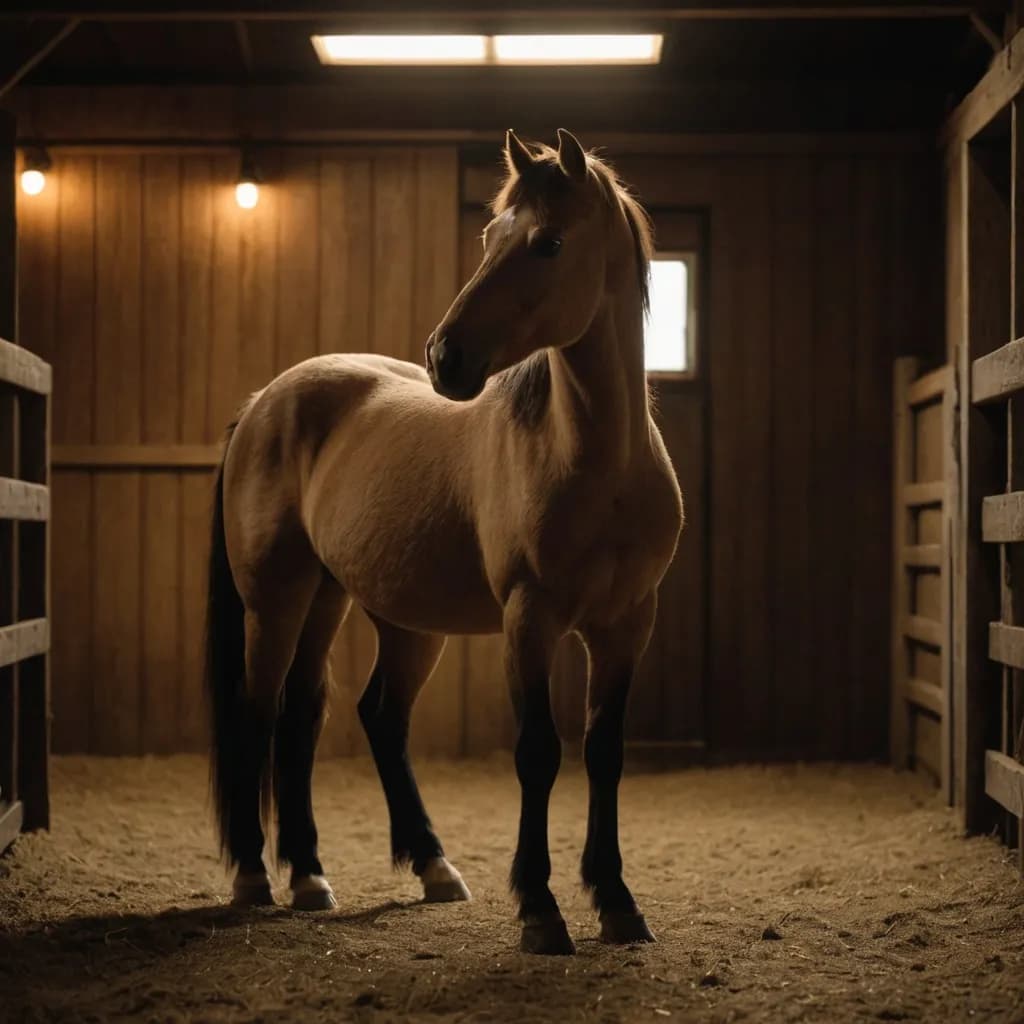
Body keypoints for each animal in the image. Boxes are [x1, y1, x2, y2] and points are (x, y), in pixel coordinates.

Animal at [206, 128, 684, 956]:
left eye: (549, 242)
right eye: (491, 237)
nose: (444, 357)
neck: (595, 464)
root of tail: (265, 400)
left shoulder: (628, 624)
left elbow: (603, 752)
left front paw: (617, 902)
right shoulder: (530, 619)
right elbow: (539, 752)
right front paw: (540, 910)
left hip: (361, 607)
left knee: (331, 717)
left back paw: (351, 873)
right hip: (275, 600)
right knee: (260, 713)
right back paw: (256, 879)